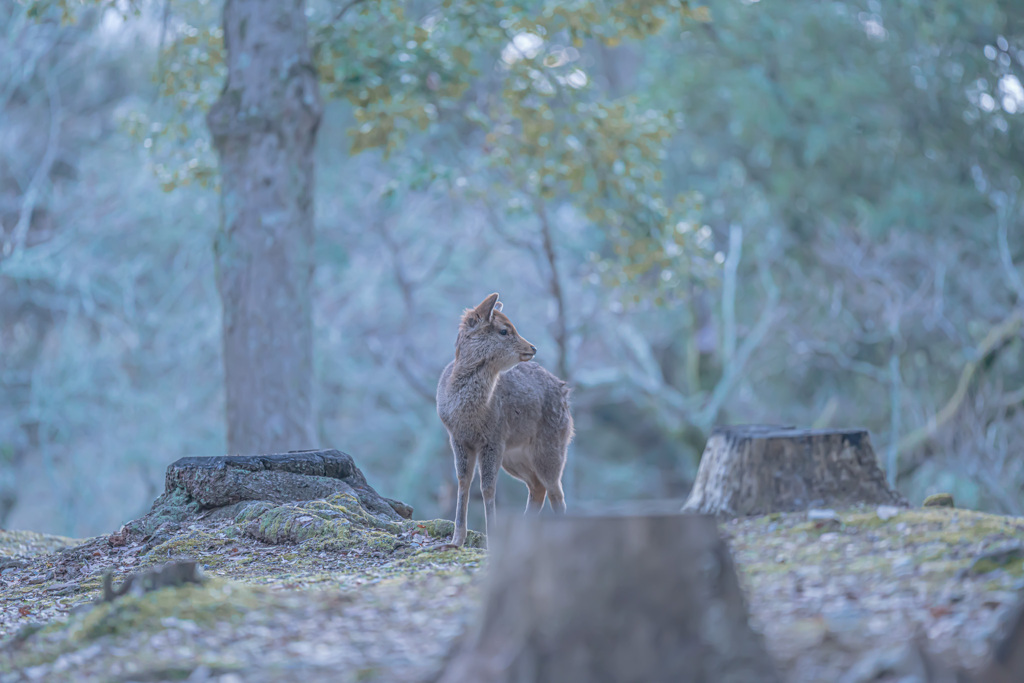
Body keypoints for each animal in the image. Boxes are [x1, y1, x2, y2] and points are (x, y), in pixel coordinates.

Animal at [434, 290, 573, 548]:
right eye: (504, 330)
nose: (533, 347)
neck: (471, 415)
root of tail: (566, 393)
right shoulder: (457, 438)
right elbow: (463, 482)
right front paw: (456, 540)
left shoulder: (494, 438)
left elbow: (488, 488)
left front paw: (491, 540)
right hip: (515, 456)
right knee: (538, 488)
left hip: (551, 447)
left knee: (556, 491)